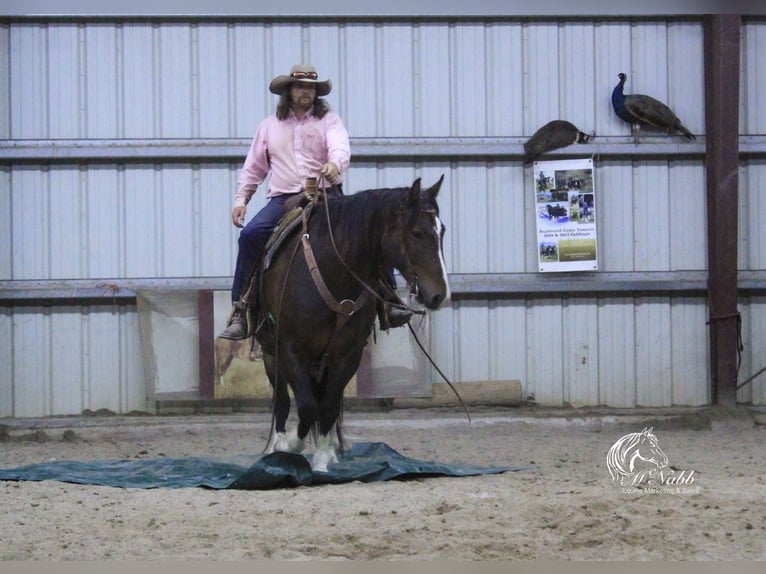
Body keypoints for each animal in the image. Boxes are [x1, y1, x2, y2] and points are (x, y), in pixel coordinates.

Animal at [255, 177, 452, 472]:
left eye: (442, 231)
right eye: (416, 233)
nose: (440, 295)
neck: (332, 271)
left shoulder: (348, 354)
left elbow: (326, 406)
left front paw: (322, 460)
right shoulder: (289, 348)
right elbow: (306, 405)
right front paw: (288, 445)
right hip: (270, 353)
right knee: (282, 400)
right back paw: (274, 449)